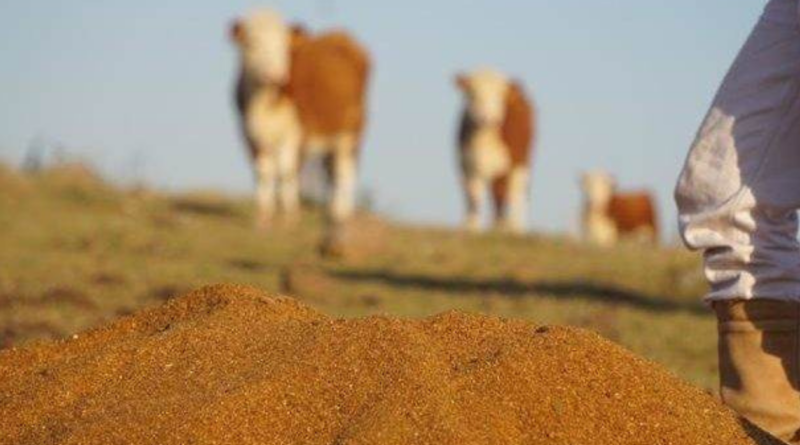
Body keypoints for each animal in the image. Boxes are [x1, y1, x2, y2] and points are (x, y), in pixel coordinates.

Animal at [230, 9, 370, 253]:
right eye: (252, 43)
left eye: (283, 45)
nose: (275, 75)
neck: (266, 101)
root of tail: (342, 35)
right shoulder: (250, 133)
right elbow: (263, 172)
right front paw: (263, 219)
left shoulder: (297, 133)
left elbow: (287, 172)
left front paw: (290, 220)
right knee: (330, 175)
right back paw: (328, 217)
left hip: (351, 132)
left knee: (344, 173)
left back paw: (341, 217)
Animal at [454, 68, 536, 232]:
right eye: (472, 94)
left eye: (500, 95)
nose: (488, 119)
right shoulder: (467, 165)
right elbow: (473, 196)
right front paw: (471, 226)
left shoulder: (508, 165)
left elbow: (501, 195)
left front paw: (501, 227)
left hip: (521, 163)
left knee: (515, 192)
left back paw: (514, 226)